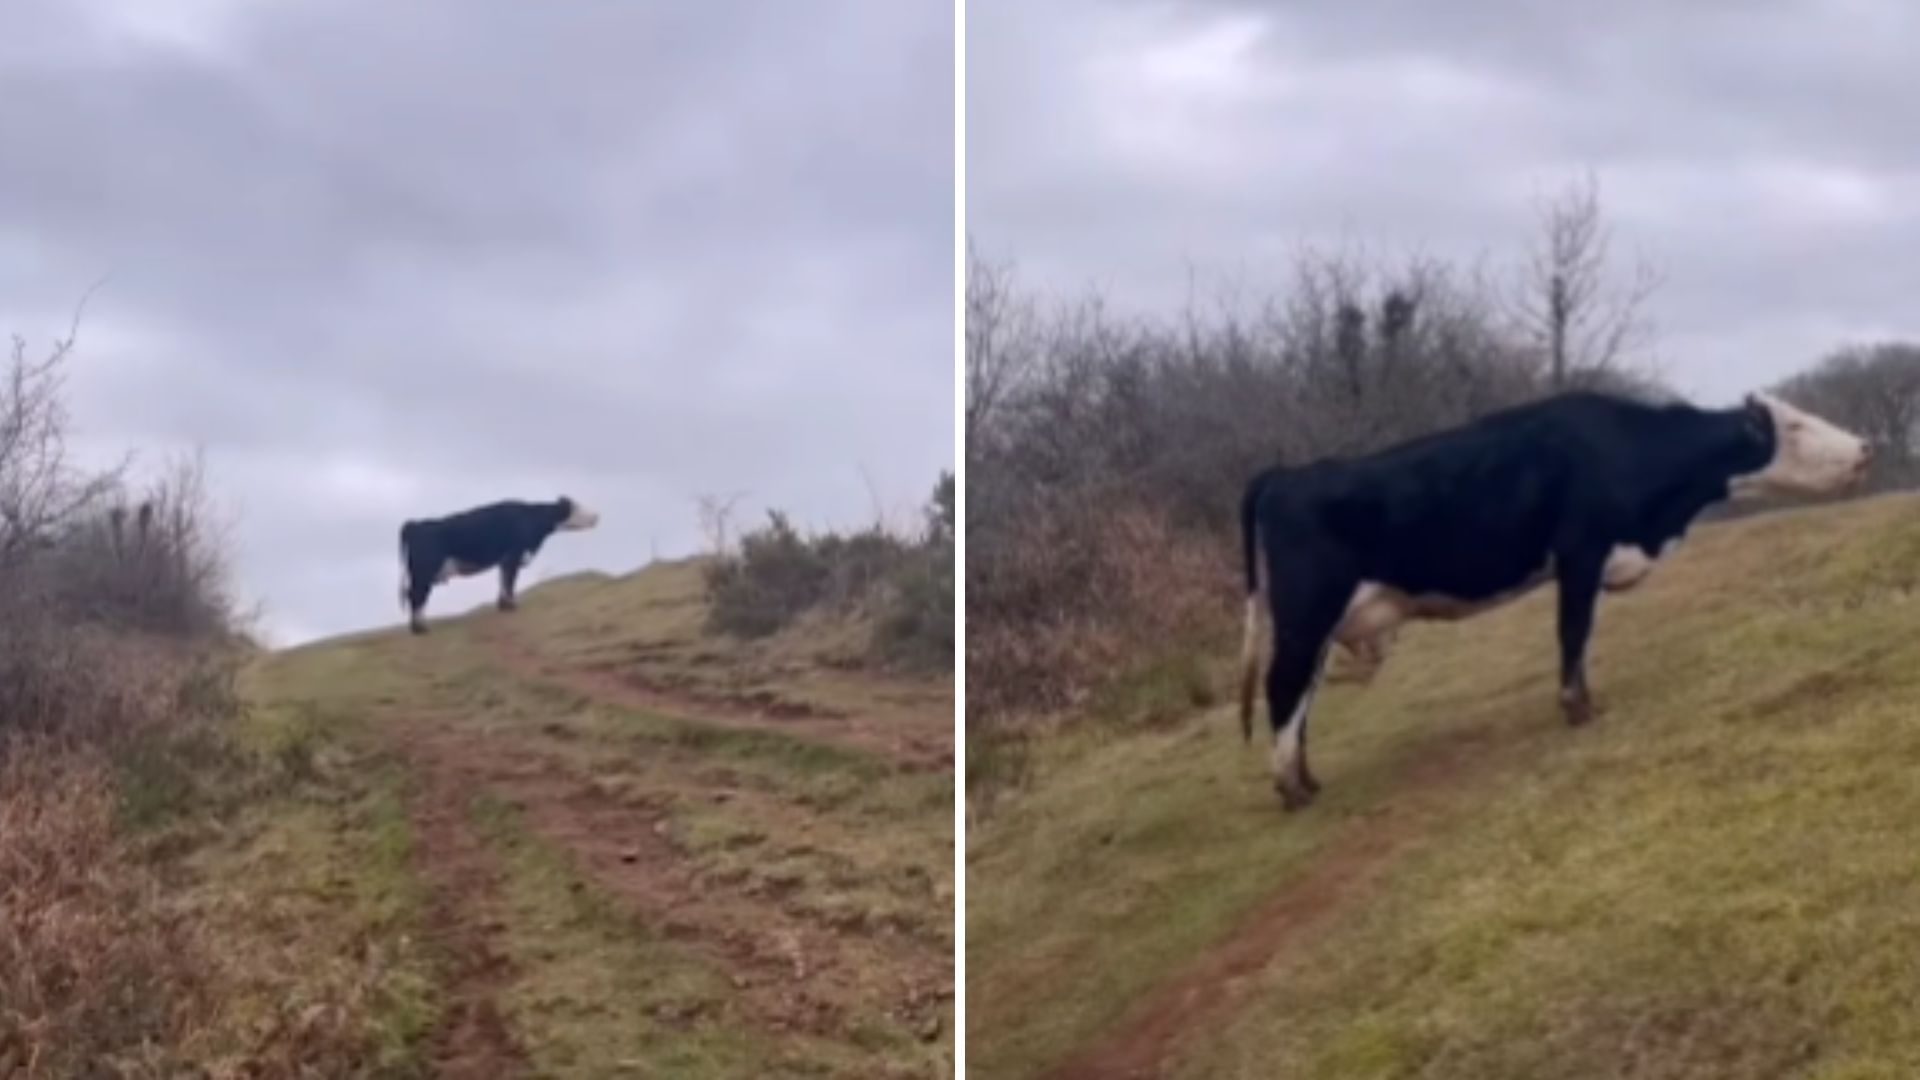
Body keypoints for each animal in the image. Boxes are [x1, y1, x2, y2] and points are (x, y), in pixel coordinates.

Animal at [393, 495, 595, 630]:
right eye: (577, 508)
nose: (596, 517)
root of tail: (416, 524)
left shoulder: (506, 559)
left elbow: (503, 579)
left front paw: (503, 605)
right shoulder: (514, 554)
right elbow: (510, 580)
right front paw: (511, 606)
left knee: (416, 595)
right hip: (424, 570)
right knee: (416, 595)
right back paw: (420, 628)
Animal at [1236, 386, 1866, 807]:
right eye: (1797, 426)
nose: (1864, 448)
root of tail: (1286, 475)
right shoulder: (1581, 553)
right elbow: (1573, 631)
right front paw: (1577, 708)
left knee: (1301, 696)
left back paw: (1307, 778)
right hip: (1306, 612)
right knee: (1284, 686)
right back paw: (1291, 788)